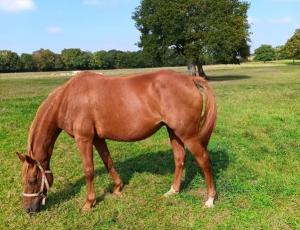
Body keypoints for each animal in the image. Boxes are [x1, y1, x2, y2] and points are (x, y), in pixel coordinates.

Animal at [16, 70, 217, 214]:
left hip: (188, 135)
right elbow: (108, 162)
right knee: (179, 158)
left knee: (204, 160)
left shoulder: (84, 139)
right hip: (173, 132)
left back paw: (210, 199)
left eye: (33, 179)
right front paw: (118, 187)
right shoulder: (98, 139)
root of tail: (189, 79)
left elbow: (88, 170)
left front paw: (89, 203)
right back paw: (173, 191)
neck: (68, 99)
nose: (28, 209)